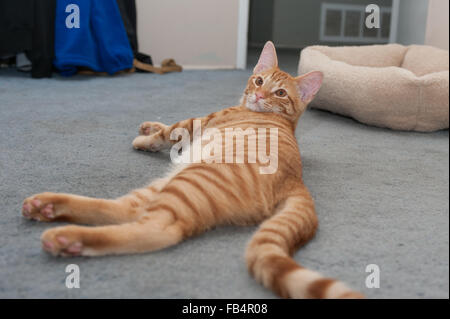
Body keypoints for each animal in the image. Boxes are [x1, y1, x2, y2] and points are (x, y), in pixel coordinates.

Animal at [22, 41, 364, 298]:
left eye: (280, 93)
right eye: (258, 80)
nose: (258, 94)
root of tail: (296, 181)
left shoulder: (196, 122)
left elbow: (168, 131)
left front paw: (145, 138)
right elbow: (162, 127)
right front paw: (148, 127)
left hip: (188, 183)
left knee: (157, 229)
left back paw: (67, 237)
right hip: (168, 184)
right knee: (124, 210)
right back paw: (48, 206)